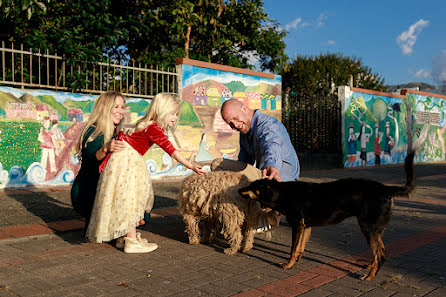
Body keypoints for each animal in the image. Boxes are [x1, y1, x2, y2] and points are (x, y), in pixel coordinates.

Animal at [239, 151, 416, 278]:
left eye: (251, 186)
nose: (239, 190)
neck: (284, 193)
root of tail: (385, 189)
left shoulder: (297, 225)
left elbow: (293, 248)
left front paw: (288, 265)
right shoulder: (306, 226)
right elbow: (300, 247)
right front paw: (297, 261)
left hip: (368, 228)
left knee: (380, 254)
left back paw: (370, 276)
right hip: (372, 230)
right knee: (380, 251)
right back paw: (371, 267)